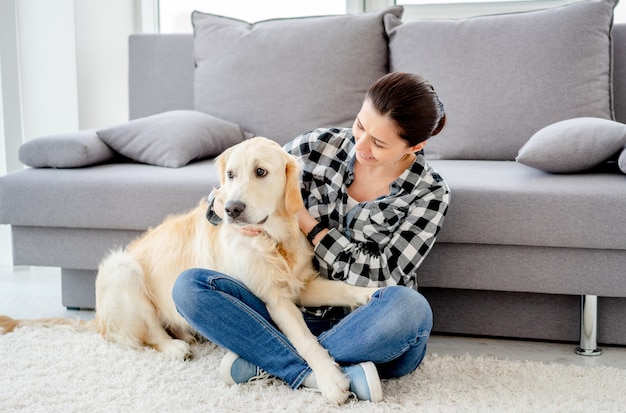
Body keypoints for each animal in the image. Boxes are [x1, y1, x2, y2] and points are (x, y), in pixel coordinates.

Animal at [0, 137, 378, 404]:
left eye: (261, 172)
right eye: (230, 175)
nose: (231, 208)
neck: (273, 240)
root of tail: (97, 319)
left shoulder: (301, 284)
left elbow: (342, 289)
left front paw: (373, 291)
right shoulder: (276, 299)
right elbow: (304, 340)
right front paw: (330, 379)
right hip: (123, 269)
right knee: (149, 334)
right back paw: (175, 347)